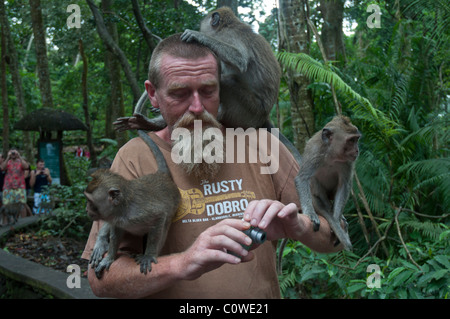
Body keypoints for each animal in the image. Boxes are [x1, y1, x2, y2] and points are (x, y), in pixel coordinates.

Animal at [85, 131, 180, 278]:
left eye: (90, 201)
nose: (86, 209)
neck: (122, 209)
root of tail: (161, 176)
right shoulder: (115, 218)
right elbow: (115, 234)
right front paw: (110, 257)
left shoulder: (140, 213)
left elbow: (160, 216)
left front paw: (149, 255)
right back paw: (101, 240)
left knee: (164, 226)